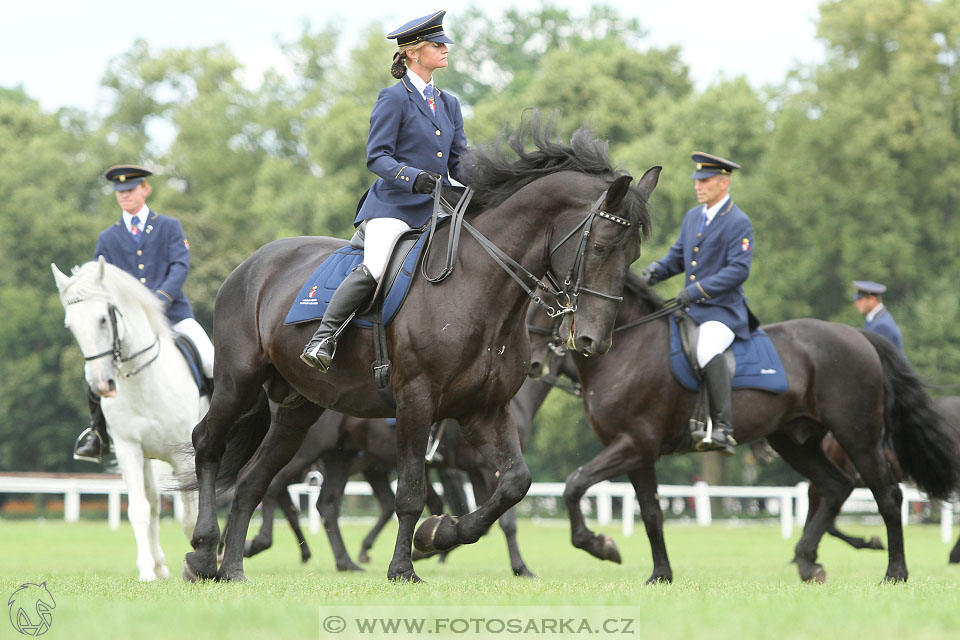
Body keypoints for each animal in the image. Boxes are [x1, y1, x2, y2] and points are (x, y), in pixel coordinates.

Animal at [183, 119, 660, 580]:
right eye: (600, 246)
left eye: (634, 255)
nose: (594, 341)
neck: (477, 288)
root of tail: (251, 265)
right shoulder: (417, 401)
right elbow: (413, 494)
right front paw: (404, 567)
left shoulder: (484, 411)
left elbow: (514, 486)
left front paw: (439, 535)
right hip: (239, 382)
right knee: (210, 445)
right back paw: (205, 552)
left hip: (302, 409)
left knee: (255, 480)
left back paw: (234, 568)